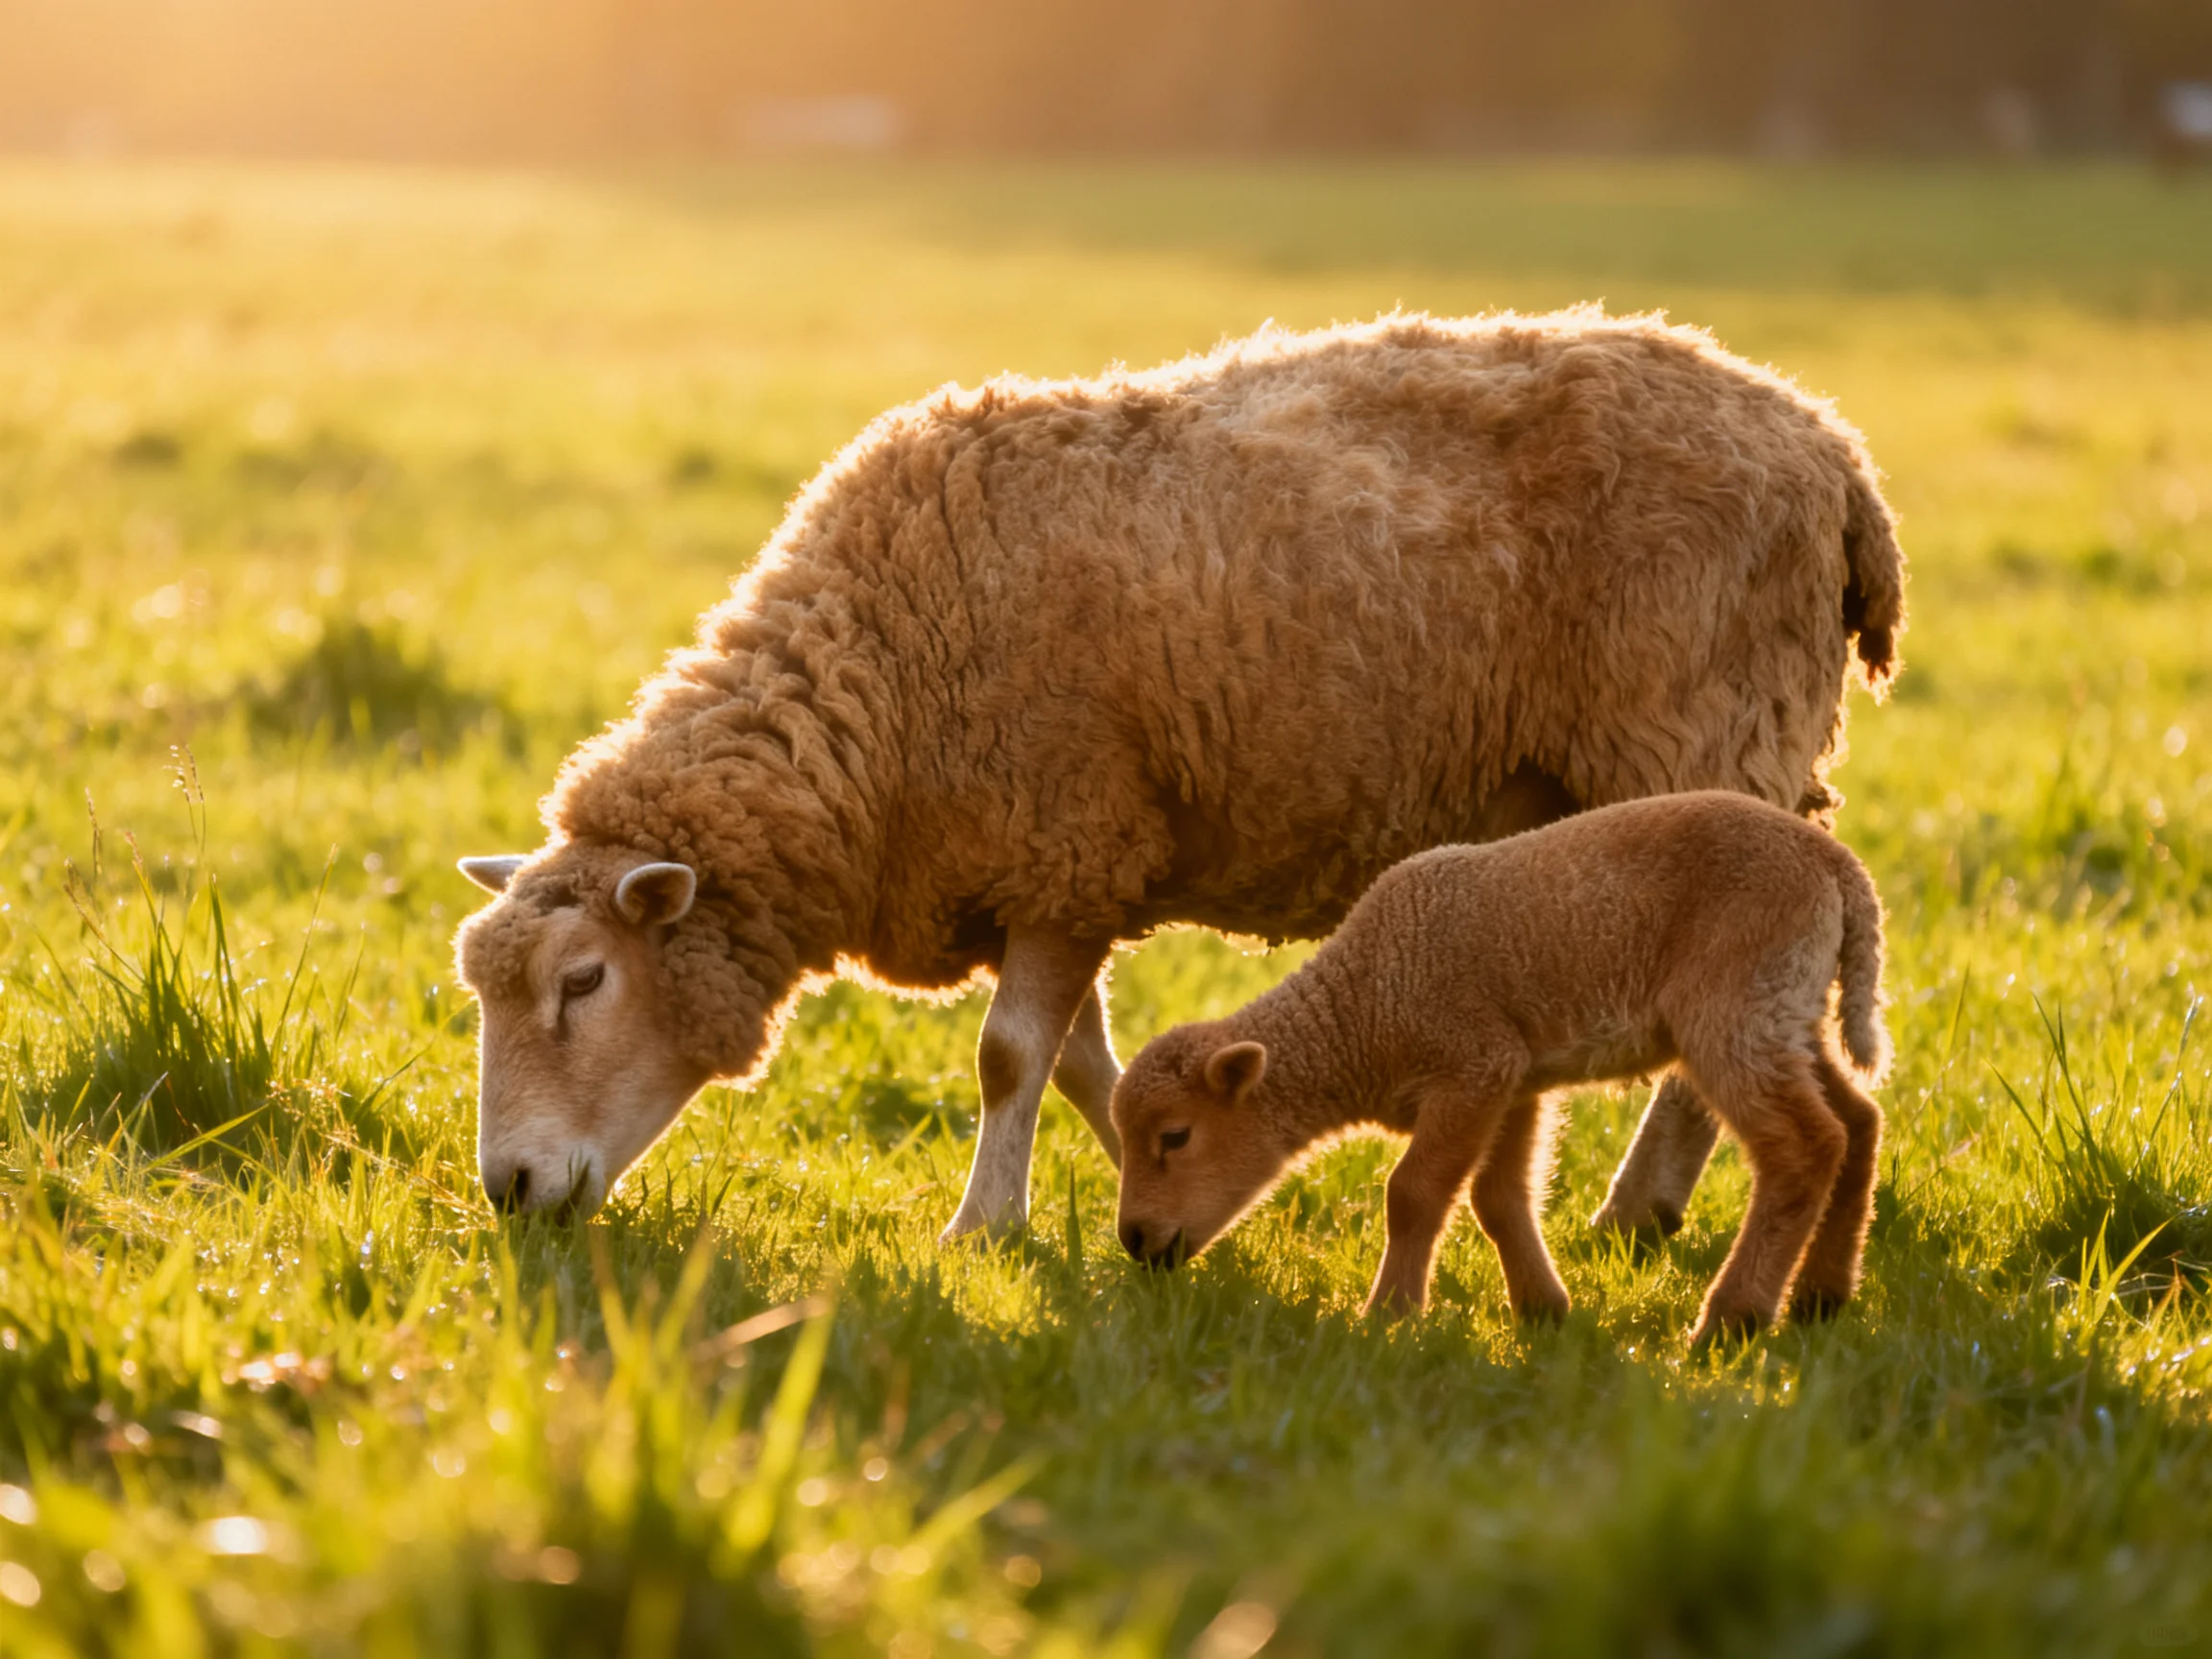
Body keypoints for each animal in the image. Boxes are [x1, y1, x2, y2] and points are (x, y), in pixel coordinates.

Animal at [451, 308, 1904, 1240]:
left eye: (583, 982)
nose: (509, 1193)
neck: (876, 699)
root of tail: (1831, 448)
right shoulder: (1055, 867)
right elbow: (1080, 1065)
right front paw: (1153, 1189)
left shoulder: (1066, 841)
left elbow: (1006, 1057)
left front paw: (983, 1228)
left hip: (1710, 738)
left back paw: (1641, 1205)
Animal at [1109, 791, 1892, 1344]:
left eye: (1174, 1137)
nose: (1135, 1241)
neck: (1364, 1008)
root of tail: (1840, 870)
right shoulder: (1515, 1076)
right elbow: (1498, 1197)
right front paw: (1542, 1312)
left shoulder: (1472, 1064)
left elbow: (1413, 1194)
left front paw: (1389, 1316)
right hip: (1788, 1010)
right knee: (1857, 1122)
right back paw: (1822, 1296)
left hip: (1735, 1007)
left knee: (1804, 1147)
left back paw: (1732, 1321)